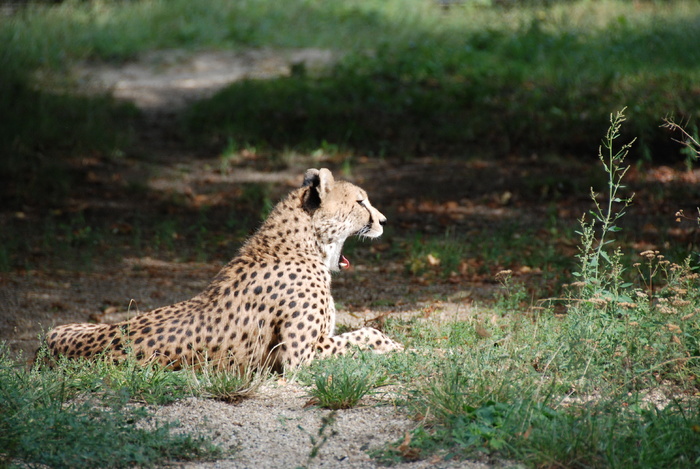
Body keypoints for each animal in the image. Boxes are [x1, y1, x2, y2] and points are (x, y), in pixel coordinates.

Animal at [43, 167, 402, 370]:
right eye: (360, 202)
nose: (384, 221)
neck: (303, 245)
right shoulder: (299, 358)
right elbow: (368, 333)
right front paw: (400, 347)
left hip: (62, 327)